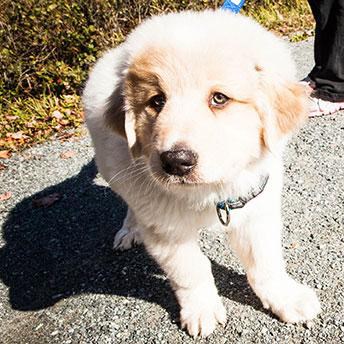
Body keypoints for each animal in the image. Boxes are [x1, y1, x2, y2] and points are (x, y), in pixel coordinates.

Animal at [82, 10, 320, 336]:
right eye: (156, 101)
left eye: (219, 98)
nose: (175, 161)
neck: (209, 192)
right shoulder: (165, 229)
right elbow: (191, 271)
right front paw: (201, 310)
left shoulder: (255, 205)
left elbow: (266, 262)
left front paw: (286, 298)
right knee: (131, 205)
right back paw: (130, 230)